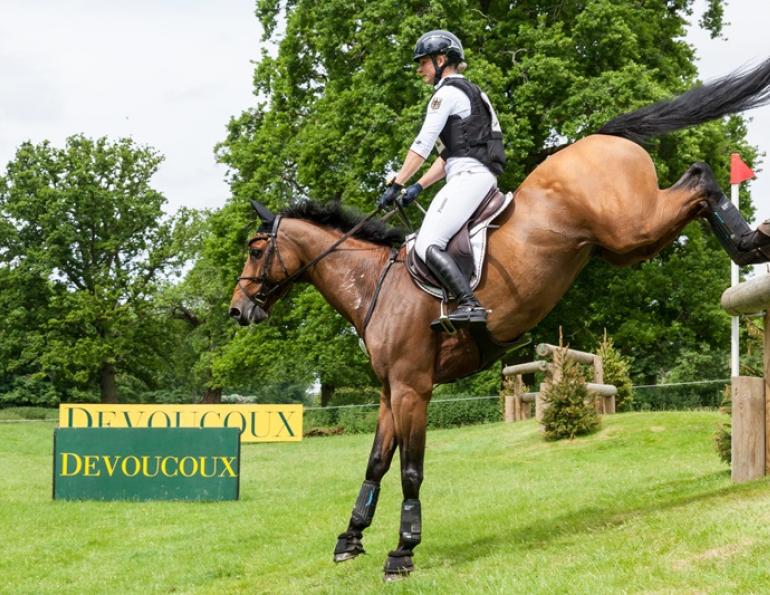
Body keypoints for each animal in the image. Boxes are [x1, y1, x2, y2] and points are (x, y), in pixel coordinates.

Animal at [229, 57, 770, 580]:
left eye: (256, 250)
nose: (238, 310)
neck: (374, 286)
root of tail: (601, 137)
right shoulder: (388, 391)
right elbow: (377, 463)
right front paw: (351, 538)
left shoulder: (412, 389)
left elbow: (409, 469)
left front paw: (403, 552)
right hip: (625, 243)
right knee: (692, 187)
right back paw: (749, 241)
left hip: (630, 229)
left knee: (697, 177)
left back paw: (751, 241)